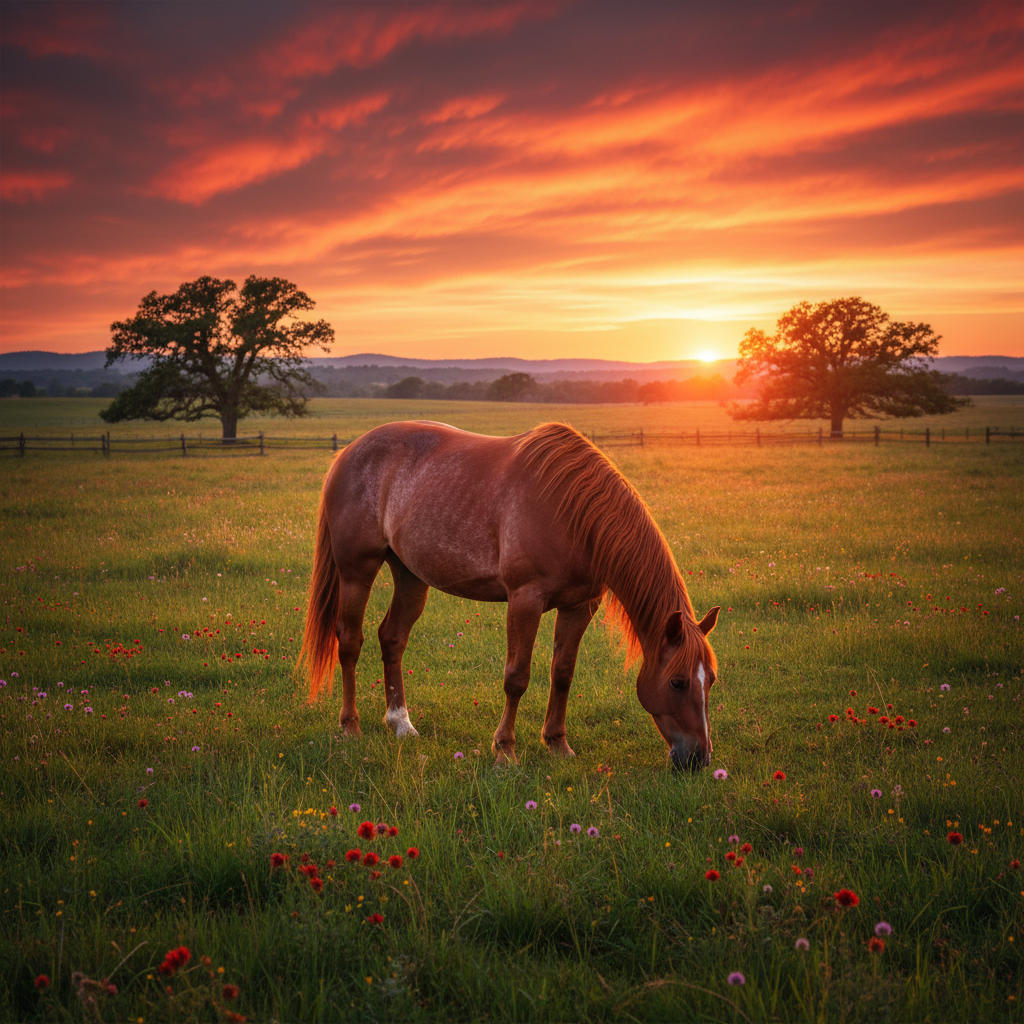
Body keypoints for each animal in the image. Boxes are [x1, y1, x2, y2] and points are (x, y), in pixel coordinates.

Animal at [299, 421, 719, 770]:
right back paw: (350, 727)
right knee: (349, 642)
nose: (698, 758)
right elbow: (517, 677)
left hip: (410, 575)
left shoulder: (579, 606)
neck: (572, 511)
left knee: (392, 638)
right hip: (356, 572)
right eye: (678, 682)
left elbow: (562, 673)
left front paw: (557, 745)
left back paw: (401, 723)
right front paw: (505, 751)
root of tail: (348, 452)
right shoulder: (524, 600)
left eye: (711, 681)